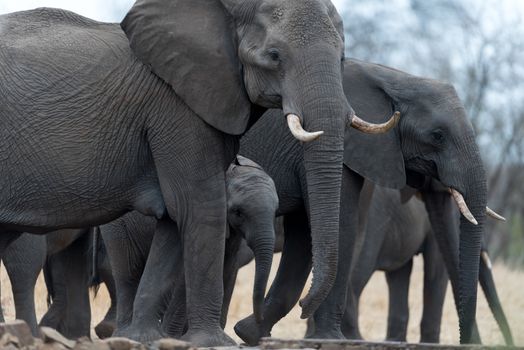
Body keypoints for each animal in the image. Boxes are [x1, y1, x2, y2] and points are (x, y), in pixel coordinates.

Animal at [0, 0, 388, 344]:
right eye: (274, 56)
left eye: (341, 57)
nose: (305, 307)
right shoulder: (178, 108)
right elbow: (199, 206)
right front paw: (213, 341)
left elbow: (175, 216)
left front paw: (144, 339)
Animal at [234, 58, 496, 344]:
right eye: (437, 135)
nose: (304, 306)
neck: (393, 77)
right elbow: (340, 226)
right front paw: (331, 339)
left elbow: (307, 231)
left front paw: (250, 333)